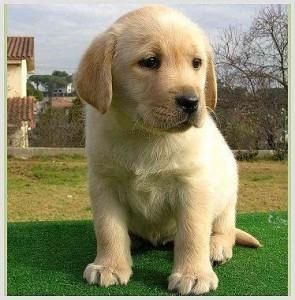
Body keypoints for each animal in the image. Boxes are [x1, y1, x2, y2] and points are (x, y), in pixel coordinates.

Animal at [74, 4, 262, 296]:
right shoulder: (104, 183)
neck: (147, 135)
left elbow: (193, 234)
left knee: (225, 229)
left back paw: (216, 247)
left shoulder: (193, 185)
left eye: (196, 63)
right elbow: (109, 229)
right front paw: (110, 266)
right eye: (150, 62)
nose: (192, 101)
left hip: (227, 195)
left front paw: (193, 274)